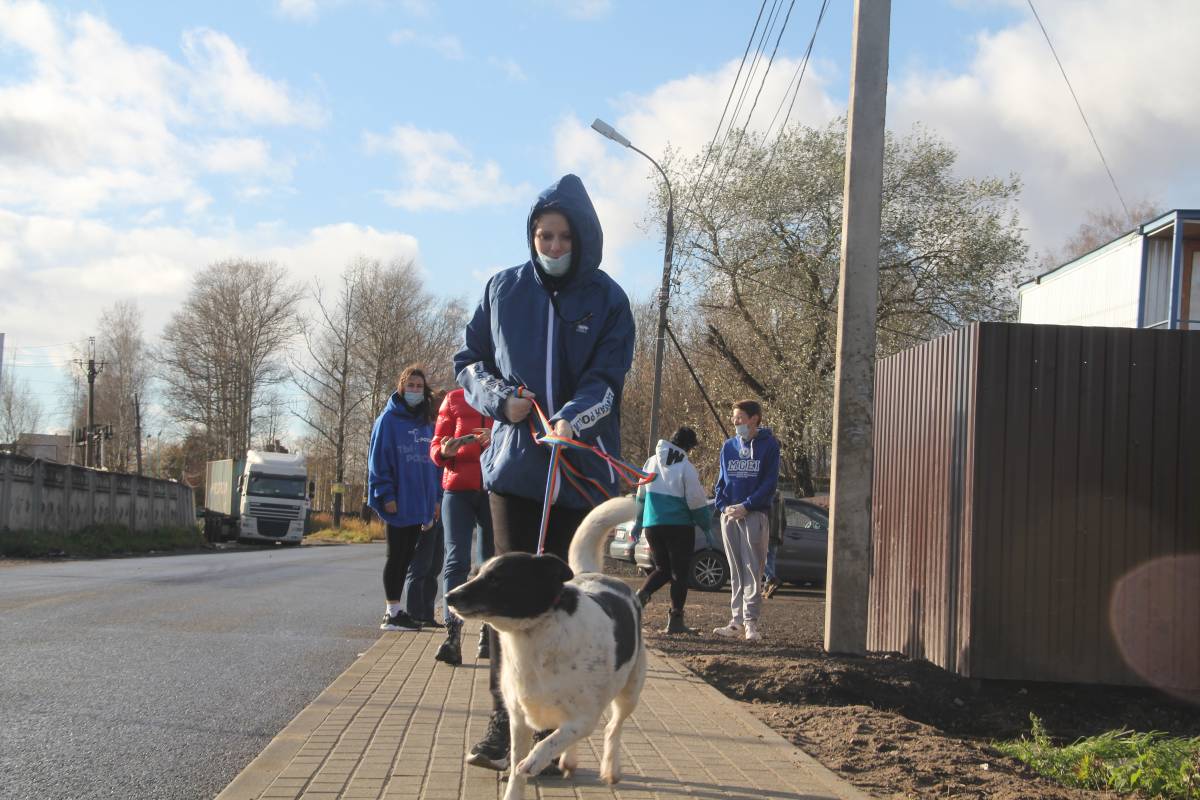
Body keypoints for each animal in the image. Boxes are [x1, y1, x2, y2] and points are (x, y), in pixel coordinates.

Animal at [446, 496, 648, 796]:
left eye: (497, 578)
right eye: (476, 574)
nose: (449, 596)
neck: (534, 634)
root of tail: (594, 573)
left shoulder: (584, 718)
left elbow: (549, 742)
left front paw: (536, 760)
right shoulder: (518, 719)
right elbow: (517, 767)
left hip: (630, 692)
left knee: (613, 727)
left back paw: (610, 768)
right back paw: (569, 761)